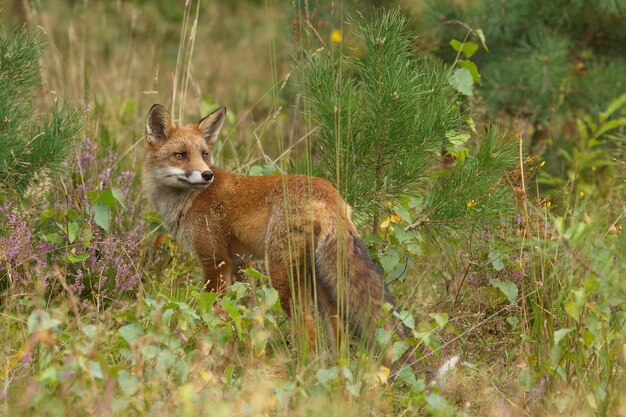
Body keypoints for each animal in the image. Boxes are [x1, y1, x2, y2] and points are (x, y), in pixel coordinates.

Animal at [141, 105, 414, 368]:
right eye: (180, 155)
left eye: (204, 155)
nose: (207, 175)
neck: (190, 199)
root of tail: (328, 193)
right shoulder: (240, 263)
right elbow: (243, 313)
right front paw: (241, 349)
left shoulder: (215, 260)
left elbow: (211, 311)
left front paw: (206, 345)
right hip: (320, 279)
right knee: (337, 326)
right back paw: (336, 371)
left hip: (283, 276)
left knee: (308, 327)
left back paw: (303, 370)